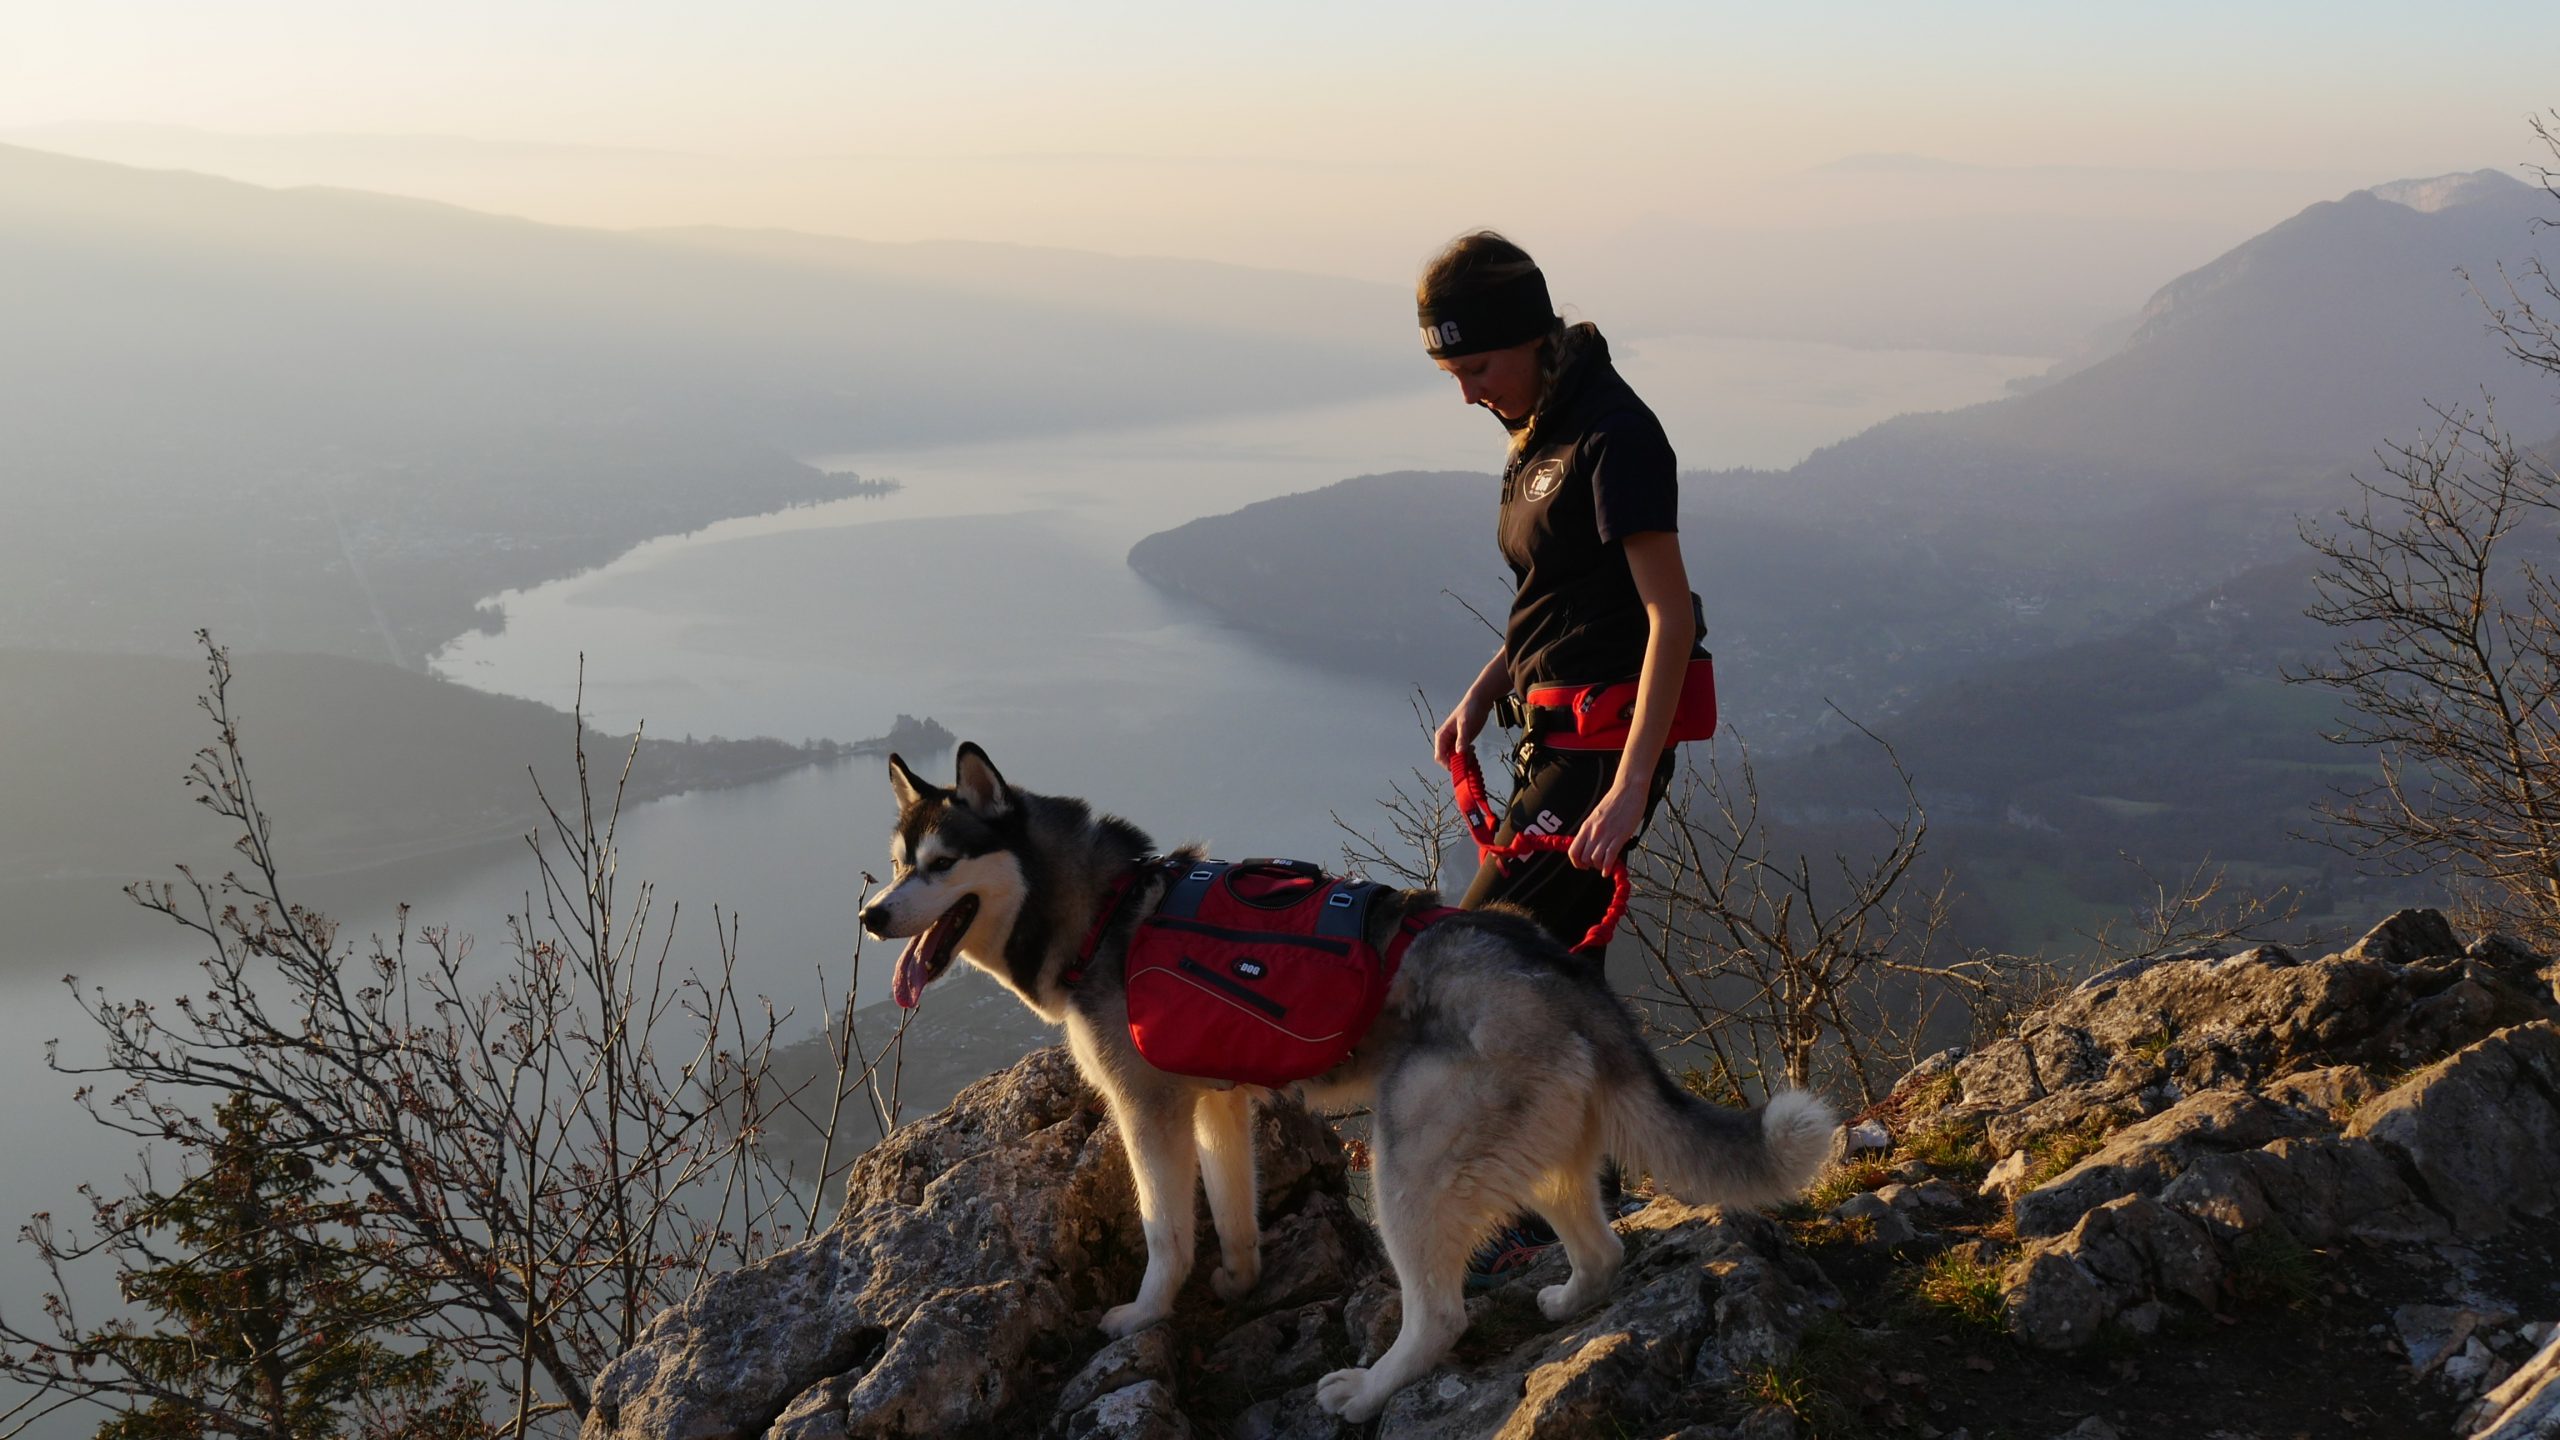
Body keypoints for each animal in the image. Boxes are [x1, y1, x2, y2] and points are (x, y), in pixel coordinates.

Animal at [860, 743, 1843, 1414]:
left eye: (942, 865)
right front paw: (1241, 1282)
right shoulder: (1216, 1105)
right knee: (1600, 1251)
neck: (1103, 911)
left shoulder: (1150, 1111)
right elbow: (1234, 1211)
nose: (870, 914)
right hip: (1536, 1151)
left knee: (1440, 1315)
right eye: (902, 863)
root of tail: (1559, 966)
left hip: (1410, 1159)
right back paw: (1569, 1298)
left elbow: (1167, 1232)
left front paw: (1144, 1316)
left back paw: (1370, 1392)